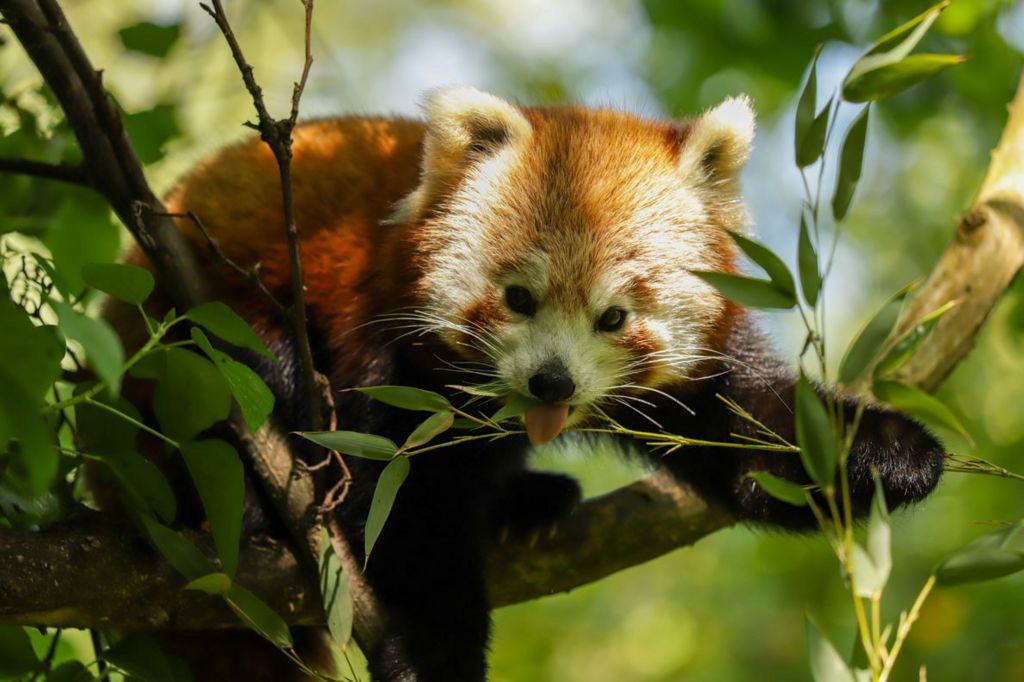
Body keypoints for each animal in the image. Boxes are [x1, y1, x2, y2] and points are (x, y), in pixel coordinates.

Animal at [112, 87, 942, 679]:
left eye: (614, 316)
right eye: (518, 298)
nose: (550, 382)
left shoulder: (699, 371)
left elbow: (755, 438)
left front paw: (891, 451)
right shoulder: (387, 353)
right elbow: (400, 507)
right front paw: (436, 652)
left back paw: (525, 498)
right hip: (185, 330)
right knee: (253, 379)